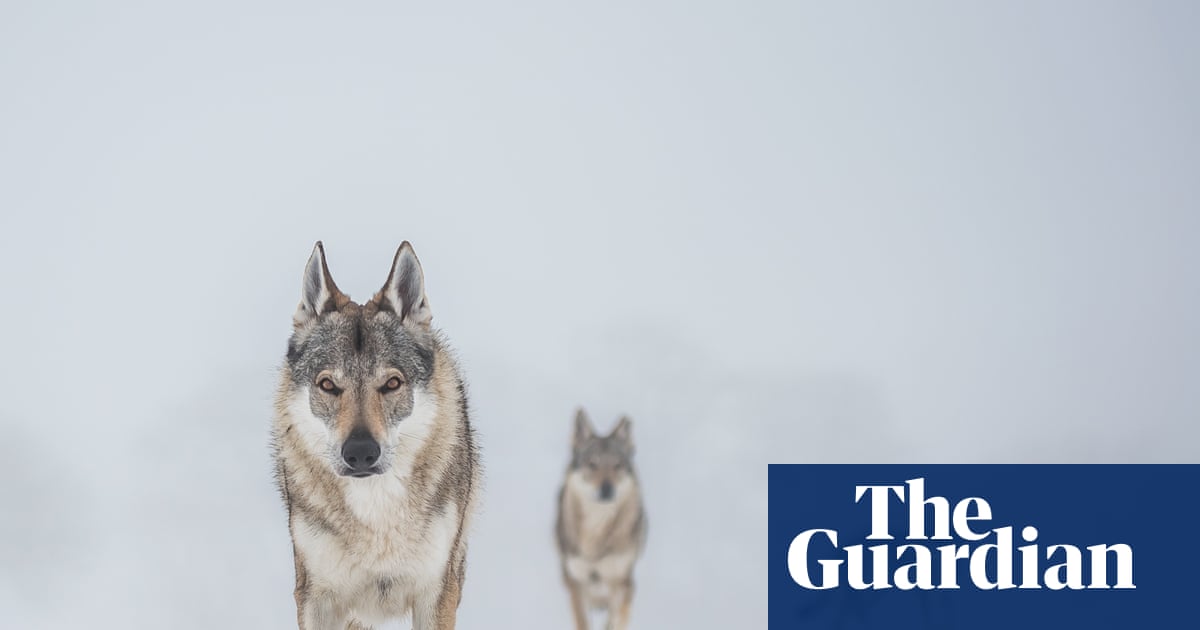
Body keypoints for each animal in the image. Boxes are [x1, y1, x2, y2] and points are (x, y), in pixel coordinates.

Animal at [272, 241, 480, 630]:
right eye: (327, 385)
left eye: (392, 383)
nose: (360, 453)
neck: (375, 510)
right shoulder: (315, 596)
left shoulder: (437, 591)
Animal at [555, 409, 648, 630]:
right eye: (592, 464)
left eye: (617, 465)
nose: (607, 489)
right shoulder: (576, 583)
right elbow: (582, 622)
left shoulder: (620, 582)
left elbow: (614, 620)